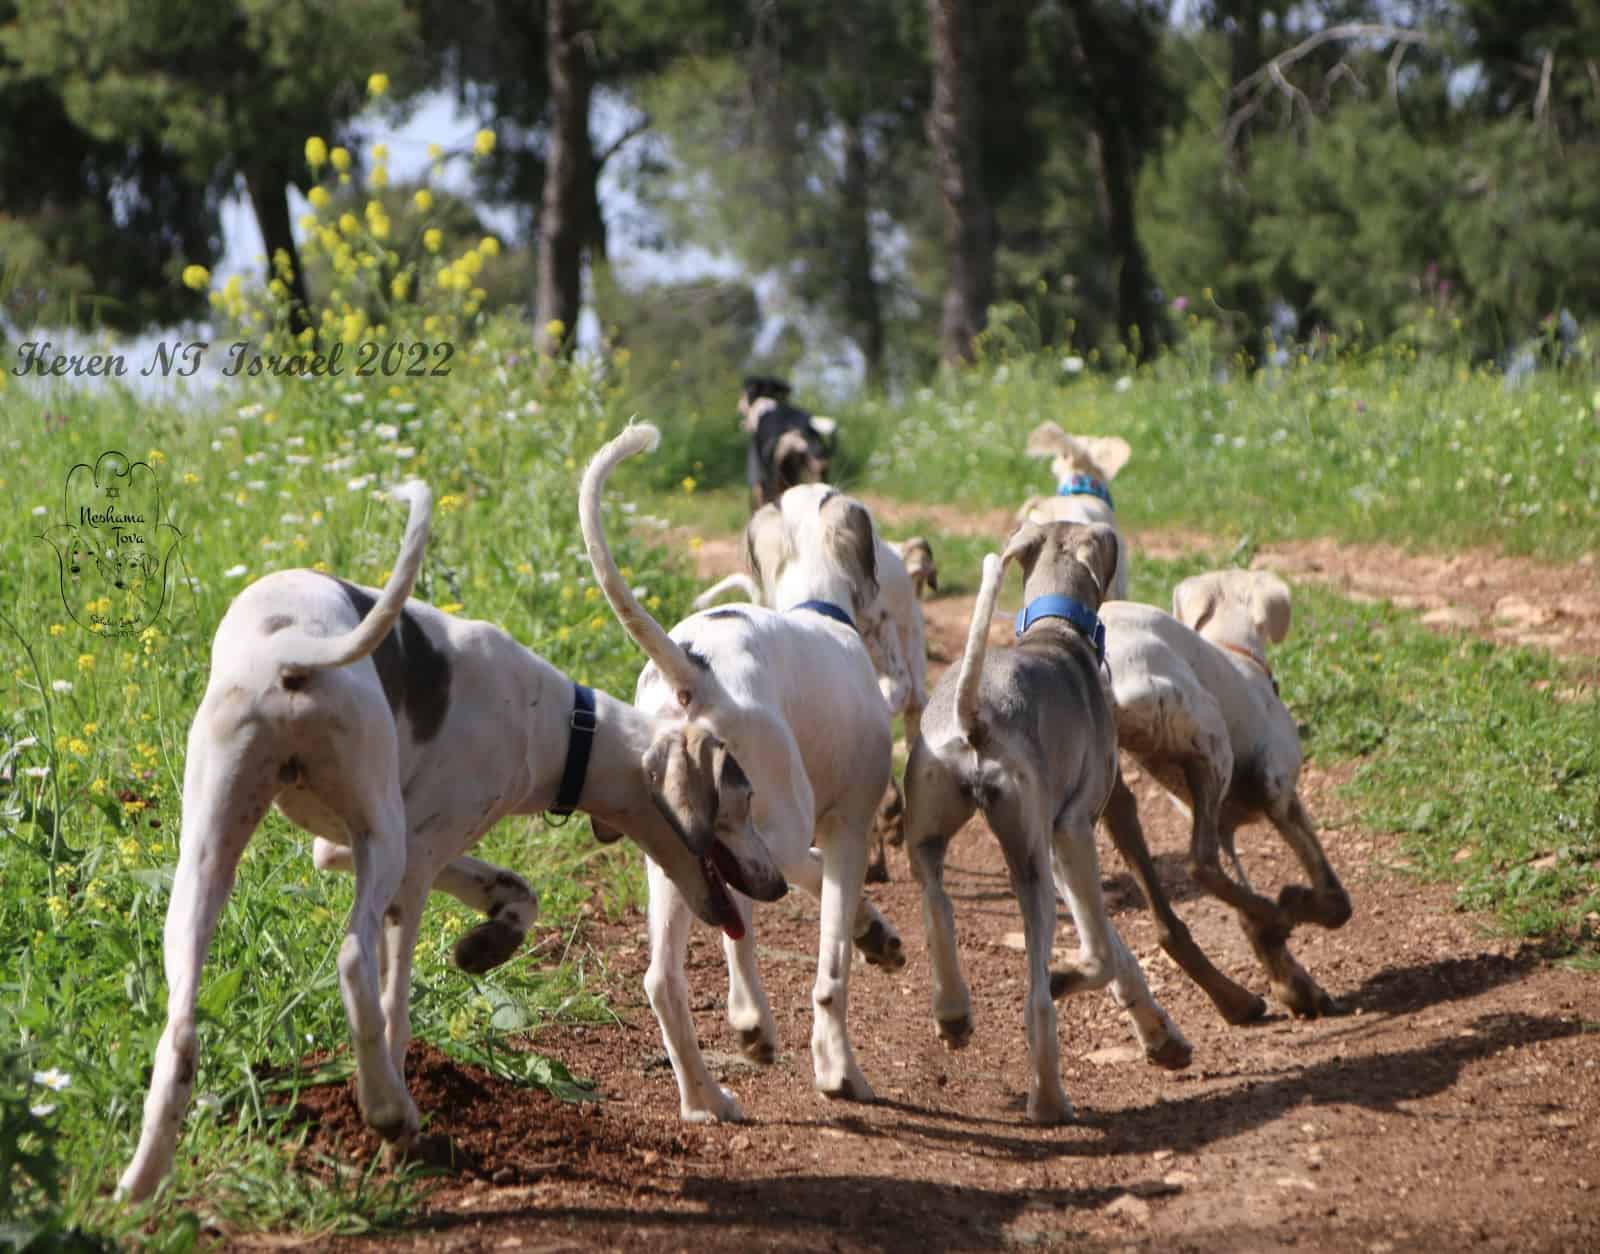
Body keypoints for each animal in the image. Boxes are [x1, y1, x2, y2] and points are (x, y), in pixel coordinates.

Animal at [116, 483, 784, 1202]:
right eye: (744, 800)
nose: (776, 884)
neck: (560, 724)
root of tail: (293, 651)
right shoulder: (410, 861)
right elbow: (396, 1010)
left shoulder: (368, 848)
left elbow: (517, 891)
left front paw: (487, 942)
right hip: (378, 846)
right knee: (355, 964)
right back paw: (390, 1110)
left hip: (211, 856)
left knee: (181, 1027)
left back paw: (143, 1176)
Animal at [582, 425, 908, 1119]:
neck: (819, 608)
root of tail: (692, 670)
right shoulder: (847, 830)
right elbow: (831, 964)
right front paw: (837, 1066)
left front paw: (873, 934)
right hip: (766, 827)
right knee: (763, 896)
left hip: (674, 847)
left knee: (664, 977)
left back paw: (705, 1096)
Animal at [1100, 572, 1350, 1023]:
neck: (1234, 653)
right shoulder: (1279, 791)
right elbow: (1334, 897)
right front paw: (1295, 908)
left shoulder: (1217, 819)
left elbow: (1242, 909)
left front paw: (1293, 984)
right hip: (1211, 743)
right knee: (1200, 864)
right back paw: (1277, 915)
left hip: (1118, 798)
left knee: (1171, 925)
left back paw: (1236, 999)